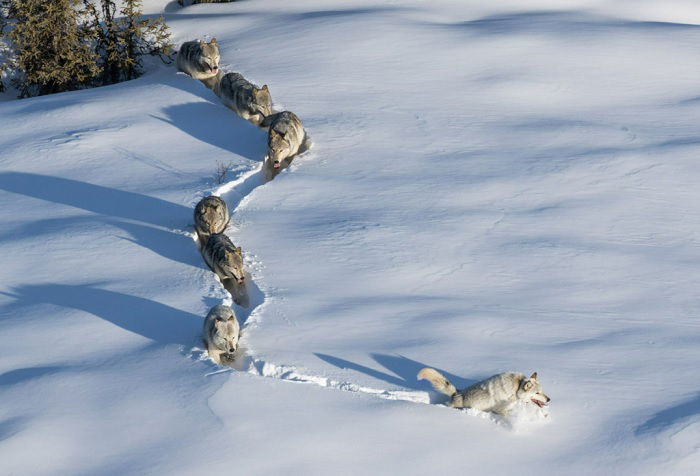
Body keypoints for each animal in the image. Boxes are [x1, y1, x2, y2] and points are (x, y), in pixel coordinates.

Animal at [418, 366, 548, 414]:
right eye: (537, 393)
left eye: (542, 391)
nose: (549, 399)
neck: (516, 388)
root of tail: (456, 393)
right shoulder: (500, 410)